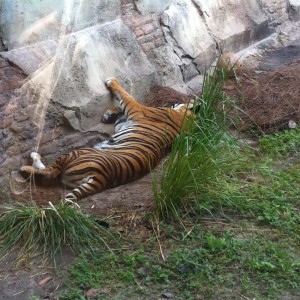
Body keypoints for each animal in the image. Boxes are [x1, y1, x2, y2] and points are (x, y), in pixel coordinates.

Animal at [21, 78, 195, 204]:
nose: (175, 102)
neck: (185, 119)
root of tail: (102, 178)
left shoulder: (137, 109)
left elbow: (126, 96)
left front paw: (111, 82)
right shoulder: (124, 122)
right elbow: (119, 111)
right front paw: (108, 114)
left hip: (76, 152)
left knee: (50, 171)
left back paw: (29, 161)